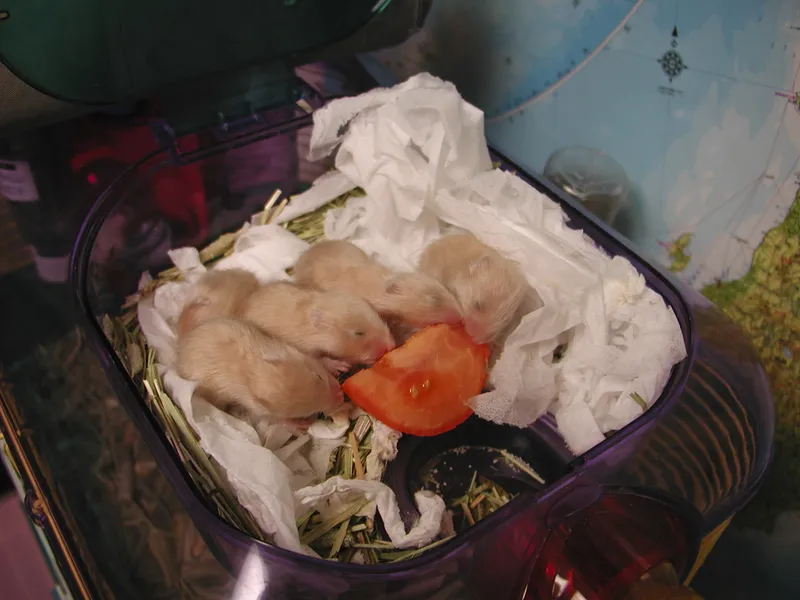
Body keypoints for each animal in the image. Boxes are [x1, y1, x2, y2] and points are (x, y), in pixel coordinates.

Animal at [176, 318, 344, 426]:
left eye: (319, 376)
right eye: (308, 412)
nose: (341, 396)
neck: (254, 371)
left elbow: (318, 359)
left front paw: (339, 365)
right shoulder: (258, 409)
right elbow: (277, 420)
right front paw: (300, 426)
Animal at [242, 281, 396, 375]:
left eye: (379, 316)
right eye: (358, 333)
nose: (392, 346)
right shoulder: (305, 348)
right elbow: (319, 360)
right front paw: (341, 366)